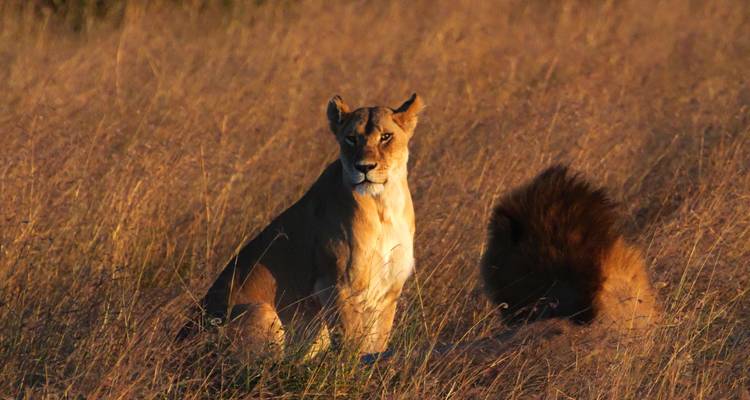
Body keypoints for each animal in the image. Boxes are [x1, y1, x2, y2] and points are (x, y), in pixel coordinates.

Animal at [177, 94, 424, 359]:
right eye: (351, 138)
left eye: (386, 137)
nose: (364, 167)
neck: (384, 206)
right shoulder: (338, 287)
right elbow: (352, 347)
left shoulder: (388, 292)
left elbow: (376, 345)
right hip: (260, 311)